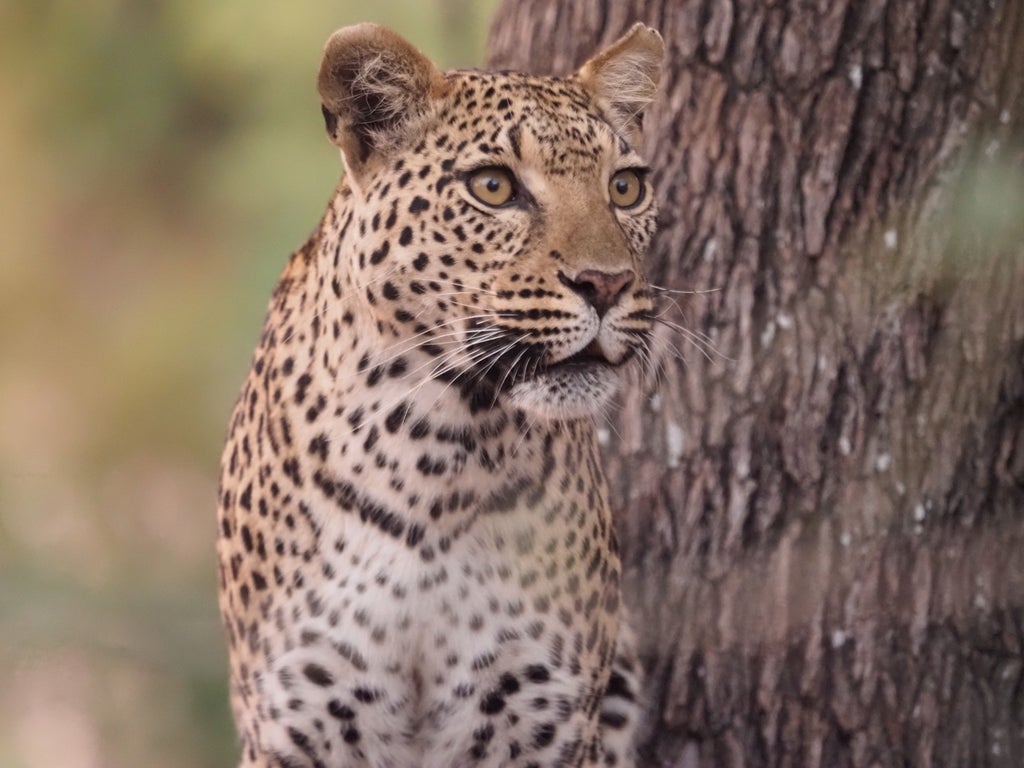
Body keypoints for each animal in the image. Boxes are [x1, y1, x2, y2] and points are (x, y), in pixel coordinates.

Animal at [216, 22, 663, 768]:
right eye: (494, 186)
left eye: (625, 188)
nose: (607, 283)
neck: (437, 444)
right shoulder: (299, 722)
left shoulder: (541, 718)